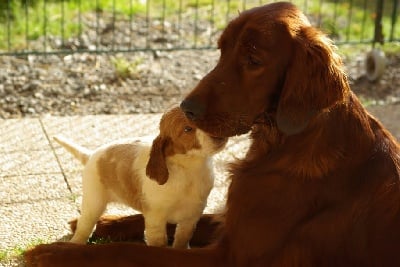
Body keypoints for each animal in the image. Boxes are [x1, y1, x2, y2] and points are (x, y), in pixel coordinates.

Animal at [53, 108, 227, 250]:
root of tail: (91, 155)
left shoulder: (191, 217)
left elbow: (182, 241)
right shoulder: (155, 220)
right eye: (187, 129)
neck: (189, 169)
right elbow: (160, 244)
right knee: (84, 228)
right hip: (93, 203)